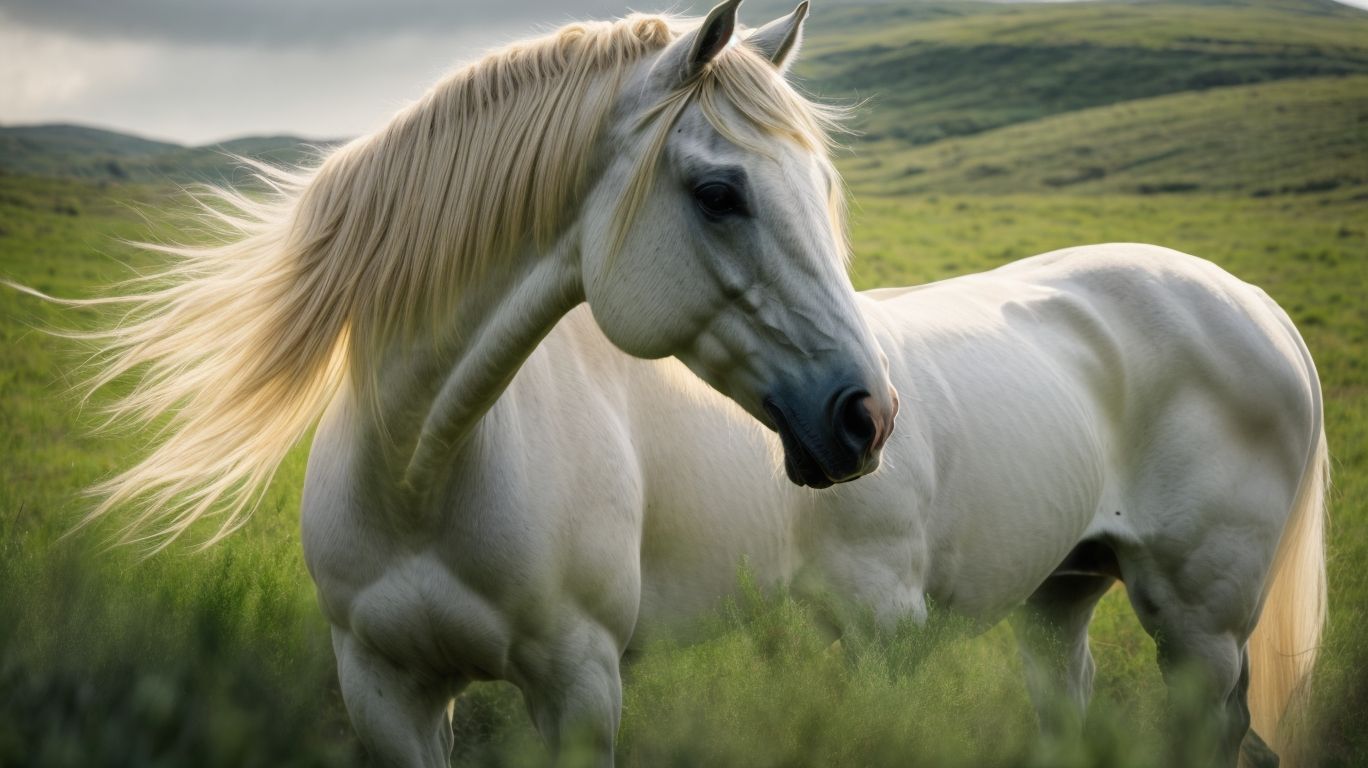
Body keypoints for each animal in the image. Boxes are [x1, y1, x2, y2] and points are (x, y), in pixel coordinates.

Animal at [18, 2, 1325, 766]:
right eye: (719, 191)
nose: (868, 418)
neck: (426, 473)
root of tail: (1254, 307)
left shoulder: (579, 685)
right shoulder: (386, 690)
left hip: (1196, 630)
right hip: (1061, 603)